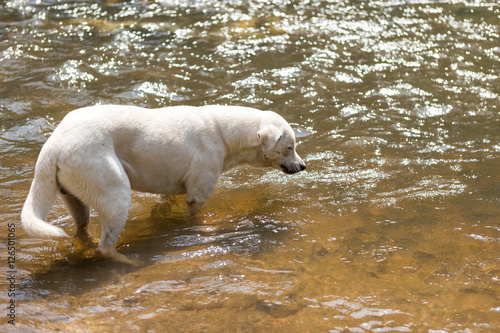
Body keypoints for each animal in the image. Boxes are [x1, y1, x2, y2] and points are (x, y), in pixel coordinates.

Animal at [21, 105, 306, 264]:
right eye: (289, 147)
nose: (304, 166)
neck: (224, 134)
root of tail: (53, 146)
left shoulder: (170, 194)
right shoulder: (197, 194)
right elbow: (196, 217)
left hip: (75, 198)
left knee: (82, 232)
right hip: (115, 192)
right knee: (106, 247)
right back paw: (131, 261)